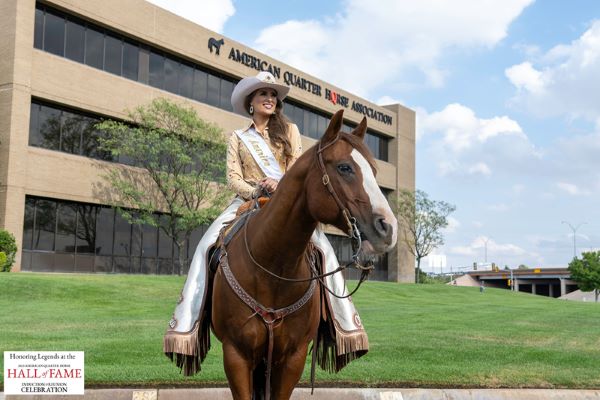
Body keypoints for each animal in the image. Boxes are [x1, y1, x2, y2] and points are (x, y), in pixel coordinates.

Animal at [211, 109, 398, 400]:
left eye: (374, 171)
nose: (388, 228)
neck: (273, 267)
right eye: (344, 167)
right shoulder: (236, 354)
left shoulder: (293, 358)